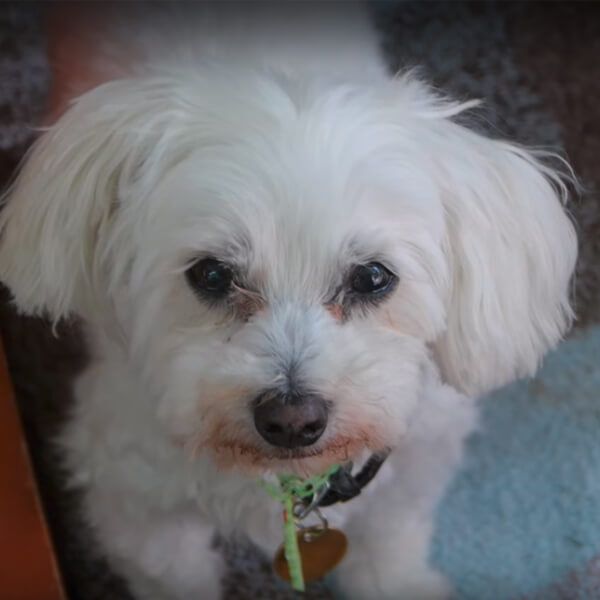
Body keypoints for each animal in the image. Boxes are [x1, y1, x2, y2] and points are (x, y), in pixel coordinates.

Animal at [0, 2, 576, 596]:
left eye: (373, 277)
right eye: (211, 274)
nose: (292, 420)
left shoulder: (408, 476)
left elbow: (389, 548)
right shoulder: (134, 497)